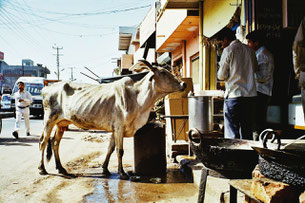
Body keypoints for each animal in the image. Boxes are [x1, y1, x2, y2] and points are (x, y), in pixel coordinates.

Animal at [38, 59, 185, 178]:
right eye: (163, 72)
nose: (183, 84)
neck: (137, 97)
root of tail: (47, 88)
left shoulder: (115, 129)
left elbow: (110, 149)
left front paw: (105, 169)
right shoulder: (119, 127)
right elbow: (120, 151)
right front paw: (122, 173)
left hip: (61, 123)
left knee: (55, 143)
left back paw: (61, 168)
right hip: (49, 120)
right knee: (43, 142)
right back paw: (42, 169)